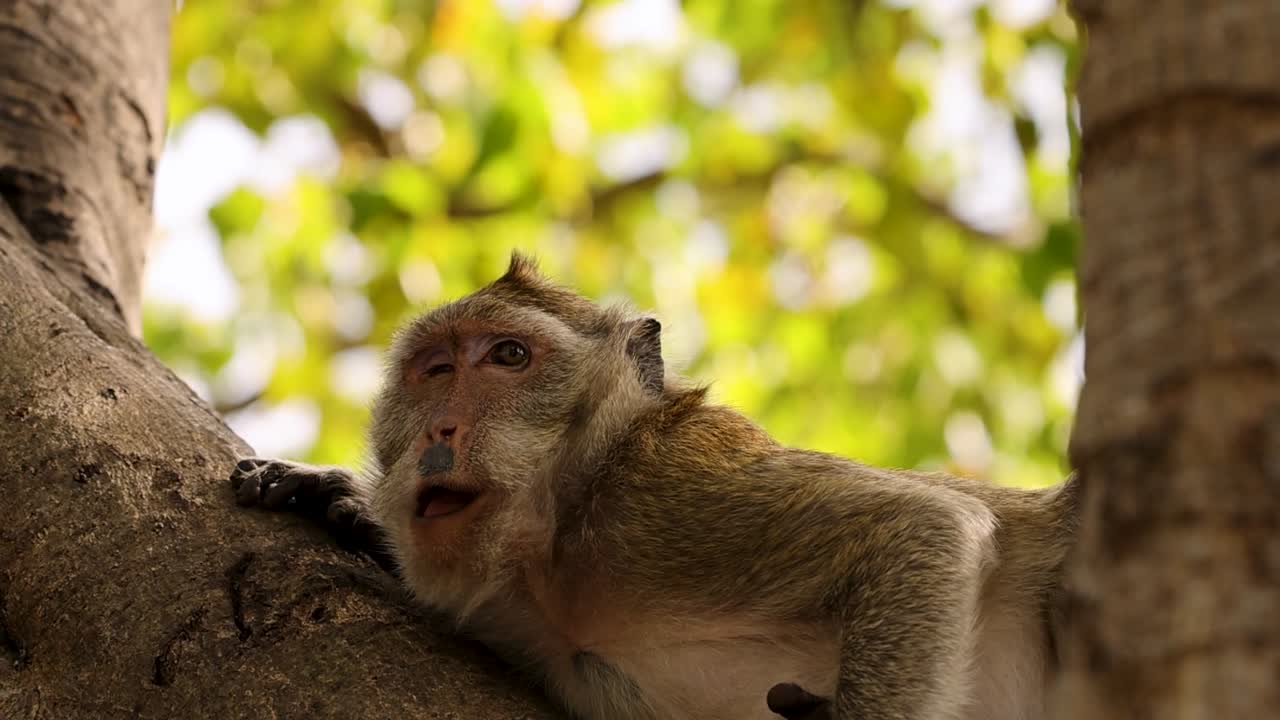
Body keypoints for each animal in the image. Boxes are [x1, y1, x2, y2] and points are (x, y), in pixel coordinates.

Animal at [231, 253, 1078, 720]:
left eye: (509, 357)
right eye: (434, 371)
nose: (441, 430)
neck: (557, 549)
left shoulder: (667, 499)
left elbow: (920, 527)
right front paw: (337, 501)